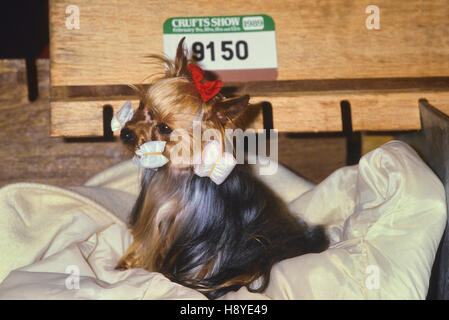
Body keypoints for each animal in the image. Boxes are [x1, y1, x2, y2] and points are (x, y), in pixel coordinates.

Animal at [114, 38, 328, 298]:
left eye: (164, 128)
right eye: (141, 105)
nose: (126, 133)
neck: (176, 174)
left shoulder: (205, 239)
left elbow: (204, 263)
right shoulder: (153, 213)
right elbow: (145, 240)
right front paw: (129, 263)